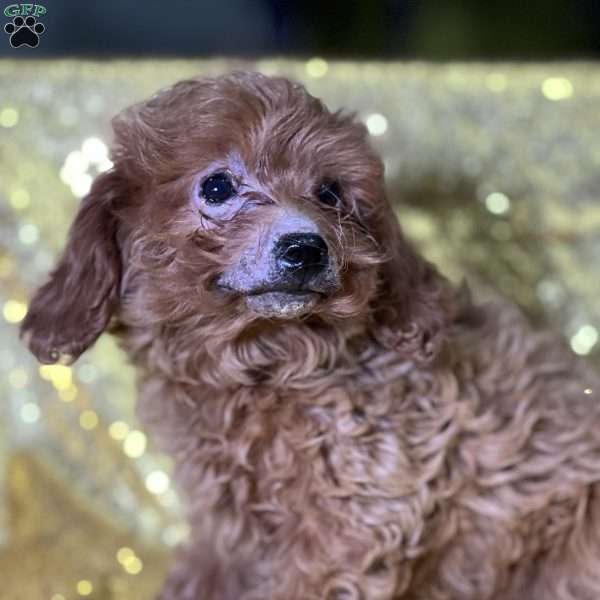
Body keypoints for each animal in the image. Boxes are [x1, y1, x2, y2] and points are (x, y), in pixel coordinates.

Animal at [21, 72, 600, 596]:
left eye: (330, 193)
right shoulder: (225, 531)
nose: (307, 248)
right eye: (217, 187)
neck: (266, 365)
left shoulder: (356, 518)